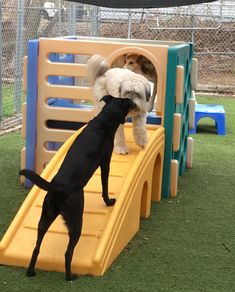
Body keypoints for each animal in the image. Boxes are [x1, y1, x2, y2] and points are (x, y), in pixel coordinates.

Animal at [20, 95, 136, 280]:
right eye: (127, 102)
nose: (134, 103)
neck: (102, 123)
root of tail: (58, 186)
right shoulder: (105, 162)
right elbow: (105, 186)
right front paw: (109, 201)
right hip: (76, 221)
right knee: (68, 252)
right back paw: (70, 276)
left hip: (44, 219)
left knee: (36, 248)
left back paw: (31, 272)